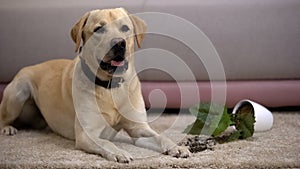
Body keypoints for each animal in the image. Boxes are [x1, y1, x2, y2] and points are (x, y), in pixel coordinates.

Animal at [0, 7, 190, 162]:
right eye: (99, 29)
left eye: (125, 28)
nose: (119, 43)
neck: (110, 88)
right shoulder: (87, 134)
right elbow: (106, 143)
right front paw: (119, 152)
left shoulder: (139, 128)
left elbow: (161, 137)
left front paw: (177, 147)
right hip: (18, 92)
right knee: (3, 117)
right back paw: (8, 128)